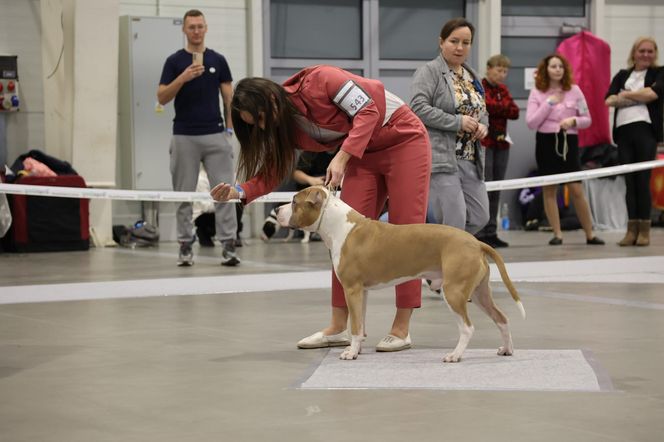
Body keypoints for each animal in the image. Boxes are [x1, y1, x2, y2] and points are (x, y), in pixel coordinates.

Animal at [274, 186, 524, 362]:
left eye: (294, 201)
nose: (276, 210)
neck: (337, 225)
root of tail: (475, 242)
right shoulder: (362, 292)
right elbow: (360, 324)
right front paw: (357, 348)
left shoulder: (351, 289)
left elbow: (354, 325)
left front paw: (351, 353)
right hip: (480, 292)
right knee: (501, 318)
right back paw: (507, 349)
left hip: (454, 292)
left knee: (467, 327)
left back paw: (454, 355)